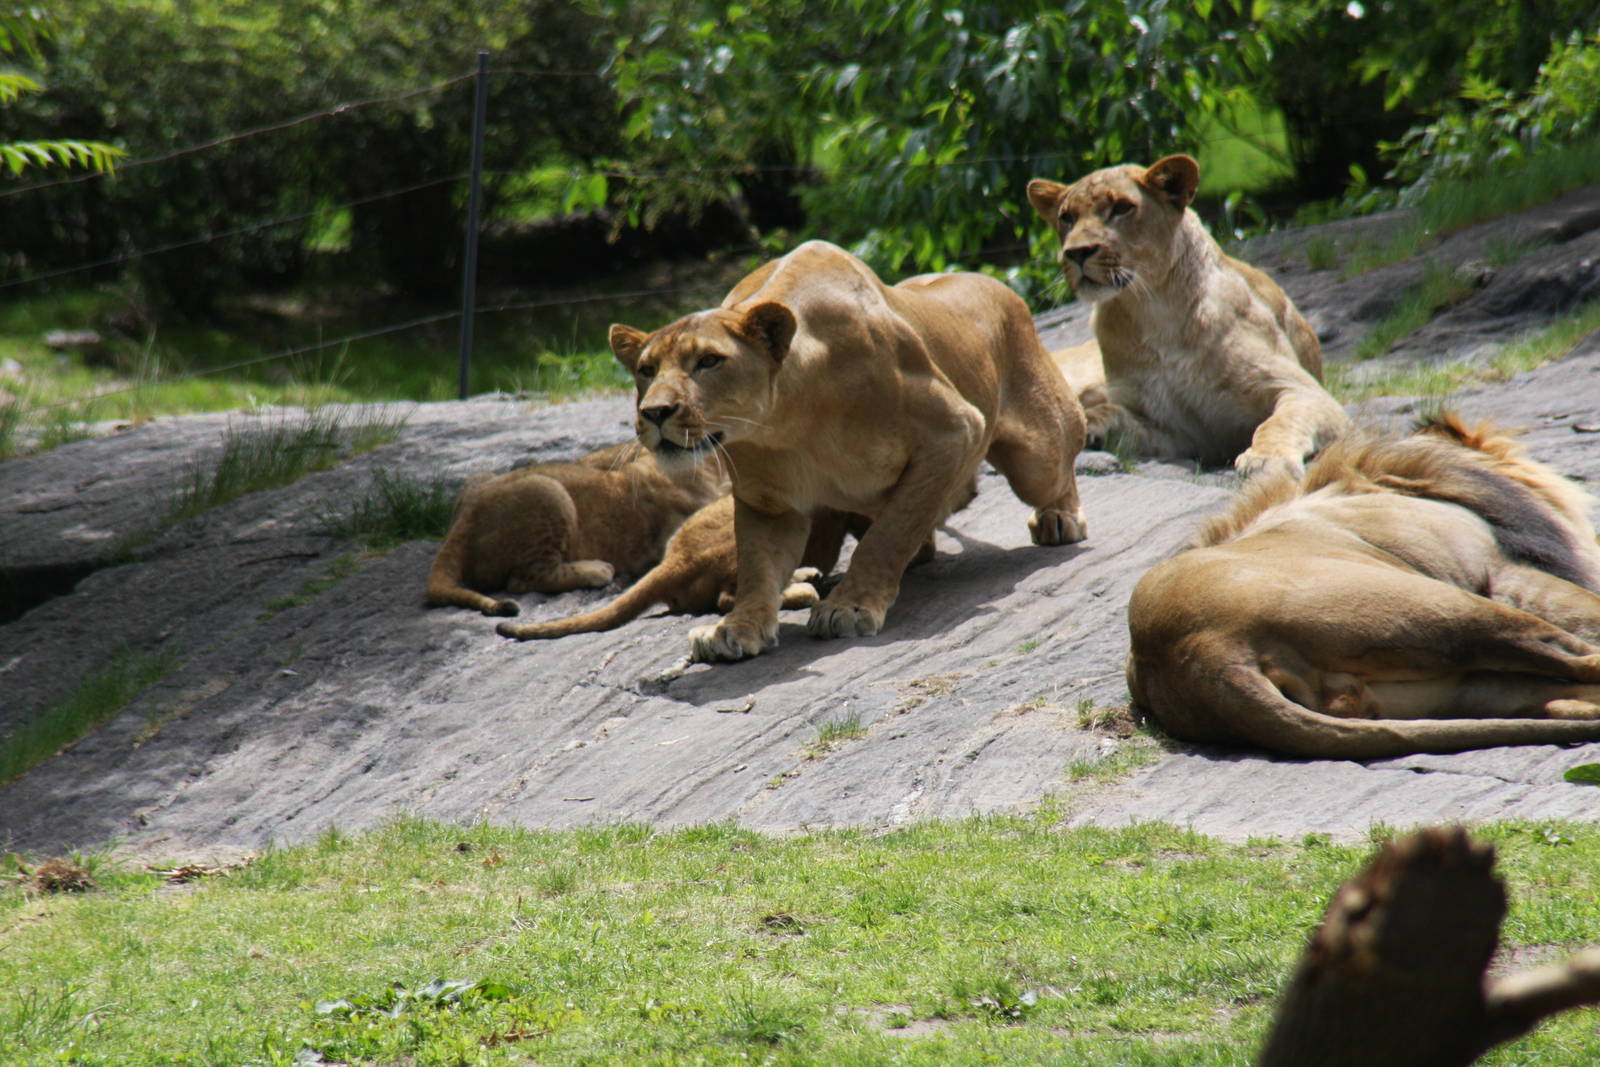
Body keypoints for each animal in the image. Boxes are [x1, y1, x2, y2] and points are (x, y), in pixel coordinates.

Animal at [606, 239, 1087, 662]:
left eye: (708, 361)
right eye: (646, 370)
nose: (655, 412)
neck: (789, 421)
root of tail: (991, 282)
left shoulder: (955, 429)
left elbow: (889, 534)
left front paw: (849, 607)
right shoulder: (768, 501)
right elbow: (757, 568)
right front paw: (739, 629)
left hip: (1036, 457)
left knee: (1062, 458)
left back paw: (1059, 518)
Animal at [1027, 154, 1349, 478]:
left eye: (1121, 208)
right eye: (1067, 217)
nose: (1077, 253)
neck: (1151, 310)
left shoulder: (1303, 390)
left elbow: (1278, 422)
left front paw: (1265, 459)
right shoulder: (1177, 430)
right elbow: (1112, 412)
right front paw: (1090, 428)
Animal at [1127, 413, 1600, 758]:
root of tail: (1206, 656)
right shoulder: (1501, 568)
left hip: (1455, 687)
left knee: (1561, 700)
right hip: (1443, 612)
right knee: (1579, 660)